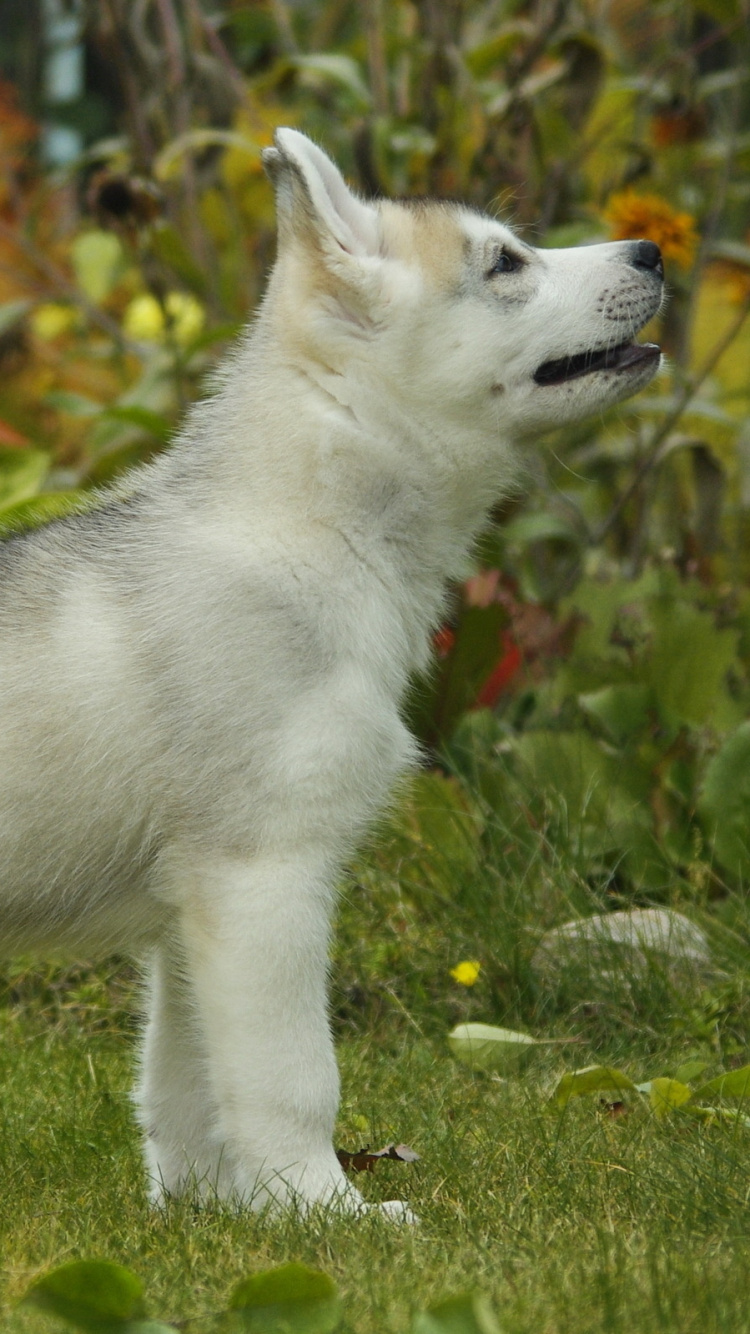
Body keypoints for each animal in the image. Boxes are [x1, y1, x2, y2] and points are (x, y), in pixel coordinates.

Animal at [0, 130, 659, 1216]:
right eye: (505, 262)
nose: (650, 250)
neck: (307, 531)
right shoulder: (262, 874)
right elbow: (295, 1075)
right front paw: (332, 1210)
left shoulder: (195, 911)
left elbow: (188, 1086)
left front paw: (222, 1212)